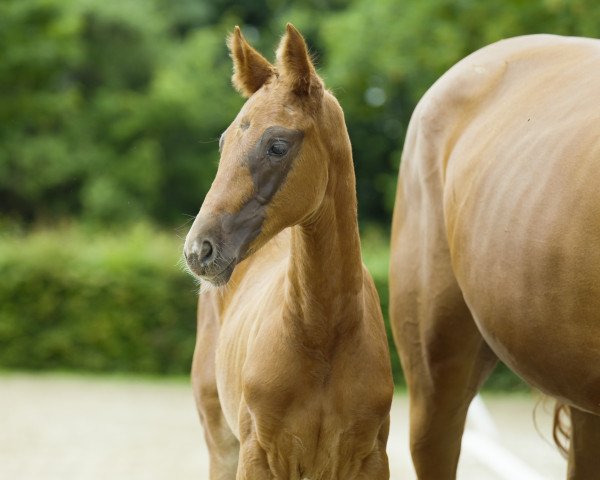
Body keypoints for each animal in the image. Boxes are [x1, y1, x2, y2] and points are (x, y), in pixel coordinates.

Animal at [182, 25, 394, 480]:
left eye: (277, 145)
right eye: (224, 141)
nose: (198, 250)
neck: (321, 333)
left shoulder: (370, 459)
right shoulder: (257, 455)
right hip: (220, 442)